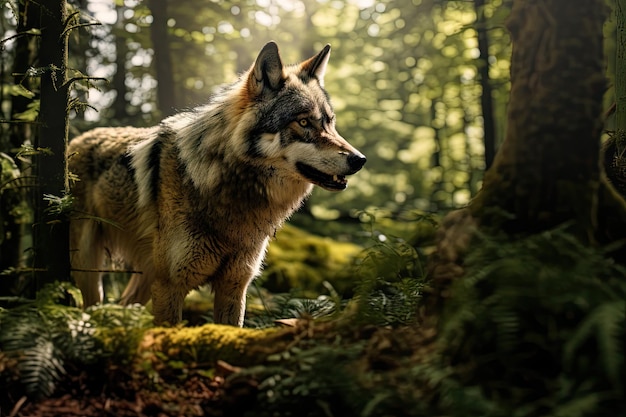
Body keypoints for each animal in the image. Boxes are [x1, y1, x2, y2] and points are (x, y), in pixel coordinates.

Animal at [67, 41, 366, 324]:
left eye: (330, 123)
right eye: (303, 122)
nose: (360, 159)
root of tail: (76, 139)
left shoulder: (234, 287)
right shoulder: (170, 286)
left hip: (145, 277)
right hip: (90, 269)